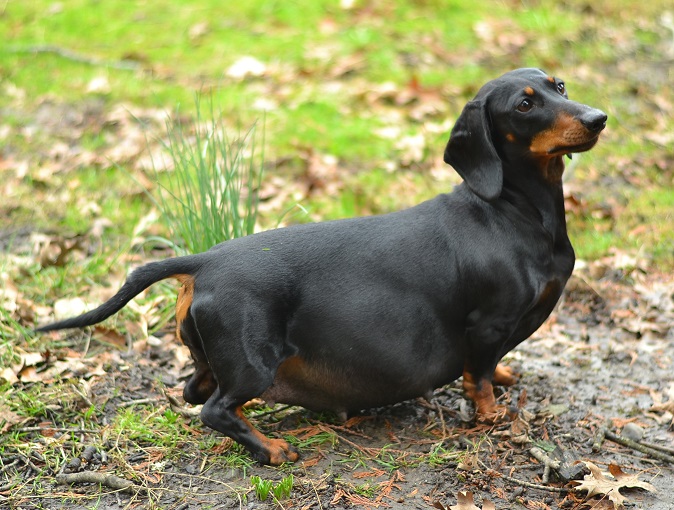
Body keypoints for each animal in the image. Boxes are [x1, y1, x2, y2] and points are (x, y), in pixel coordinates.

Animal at [36, 68, 608, 466]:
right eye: (526, 103)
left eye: (559, 84)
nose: (598, 118)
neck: (511, 209)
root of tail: (205, 259)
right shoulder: (488, 324)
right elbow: (480, 375)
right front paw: (492, 414)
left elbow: (491, 367)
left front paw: (507, 377)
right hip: (255, 362)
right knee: (212, 409)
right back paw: (271, 449)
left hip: (222, 358)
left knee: (195, 390)